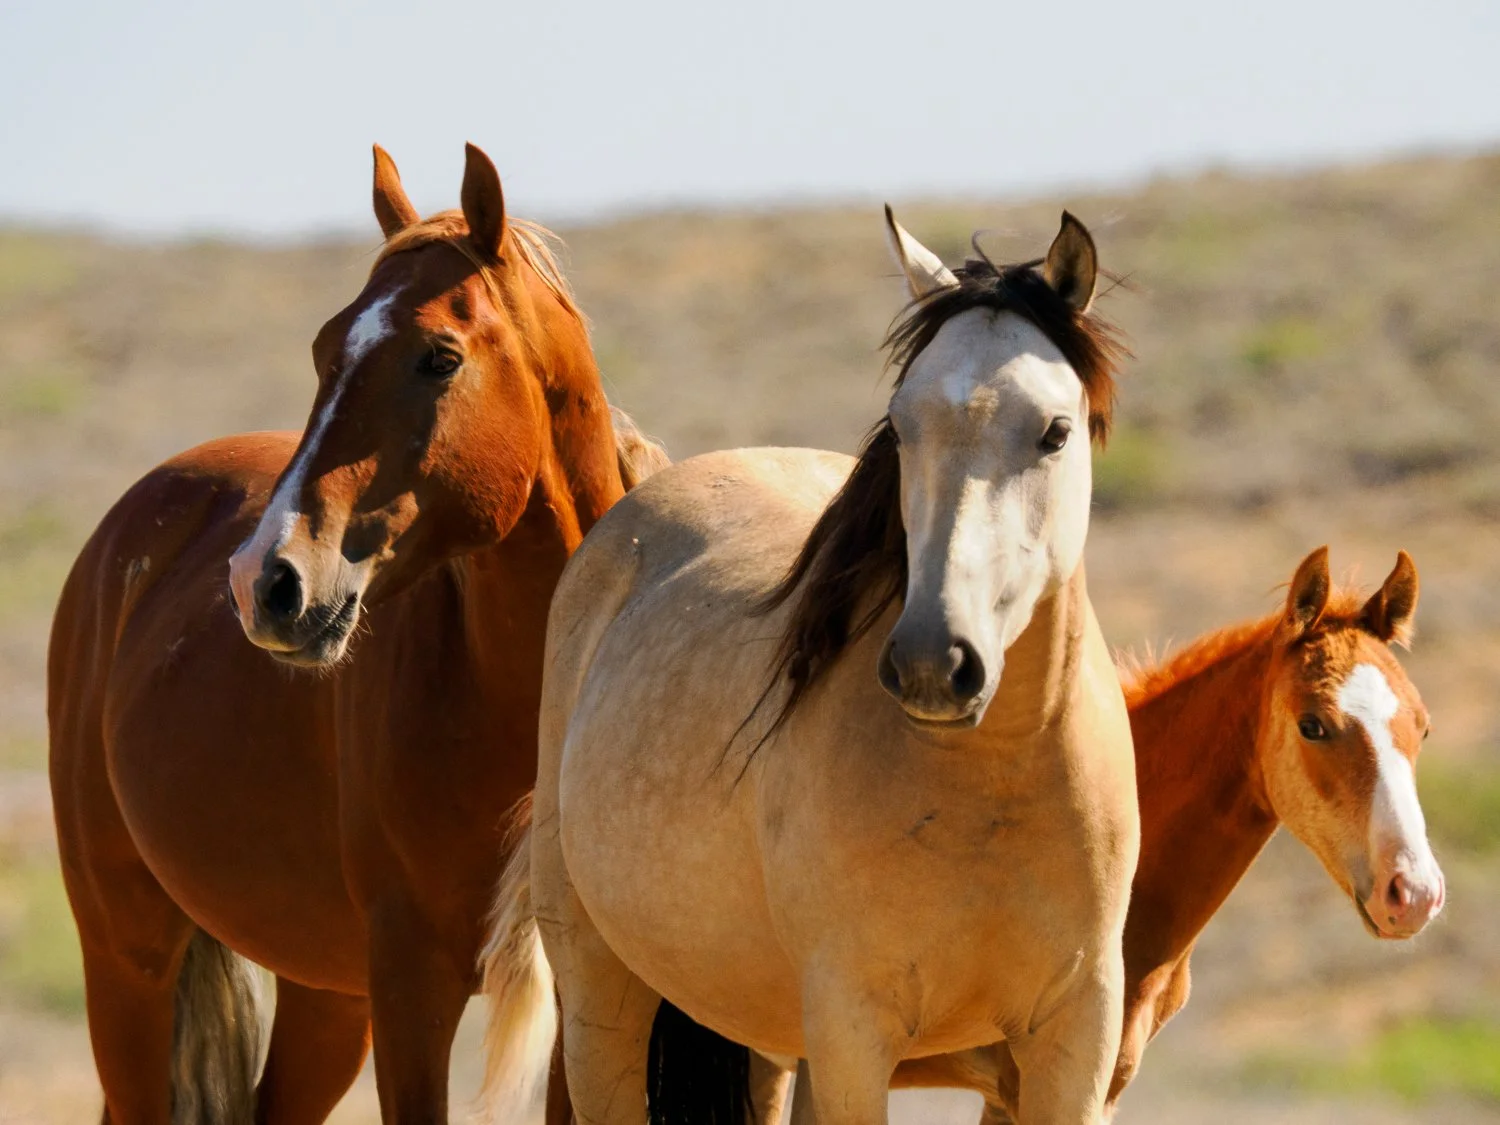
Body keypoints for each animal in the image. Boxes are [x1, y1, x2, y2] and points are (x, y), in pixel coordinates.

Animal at [48, 143, 662, 1125]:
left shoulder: (588, 993)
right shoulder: (410, 986)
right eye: (322, 348)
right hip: (126, 954)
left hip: (324, 996)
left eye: (439, 357)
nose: (265, 581)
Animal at [482, 209, 1140, 1125]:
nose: (934, 661)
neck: (994, 791)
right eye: (900, 426)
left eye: (1054, 432)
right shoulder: (854, 1033)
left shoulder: (1075, 1038)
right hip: (601, 999)